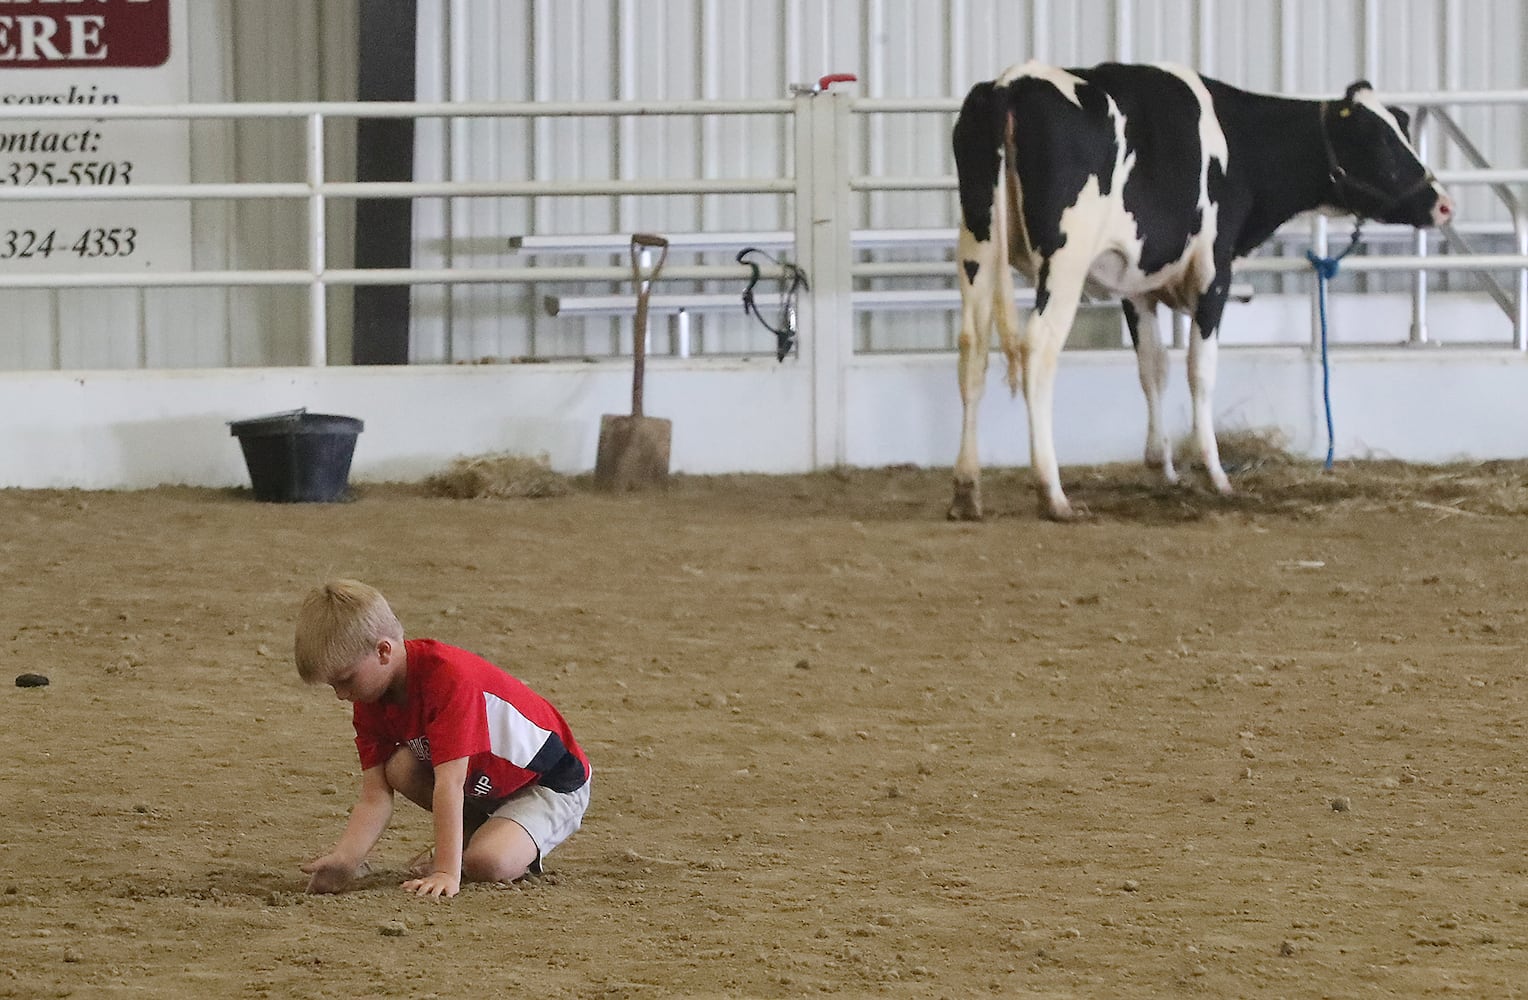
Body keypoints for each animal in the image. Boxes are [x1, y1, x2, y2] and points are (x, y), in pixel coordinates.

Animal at [947, 60, 1448, 525]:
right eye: (1380, 141)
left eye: (1401, 130)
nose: (1444, 203)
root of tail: (1012, 83)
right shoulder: (1214, 269)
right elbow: (1199, 370)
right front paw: (1215, 473)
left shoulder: (1138, 283)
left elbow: (1152, 369)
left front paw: (1162, 467)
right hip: (1065, 258)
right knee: (1038, 348)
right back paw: (1052, 493)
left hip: (977, 245)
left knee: (973, 350)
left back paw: (966, 491)